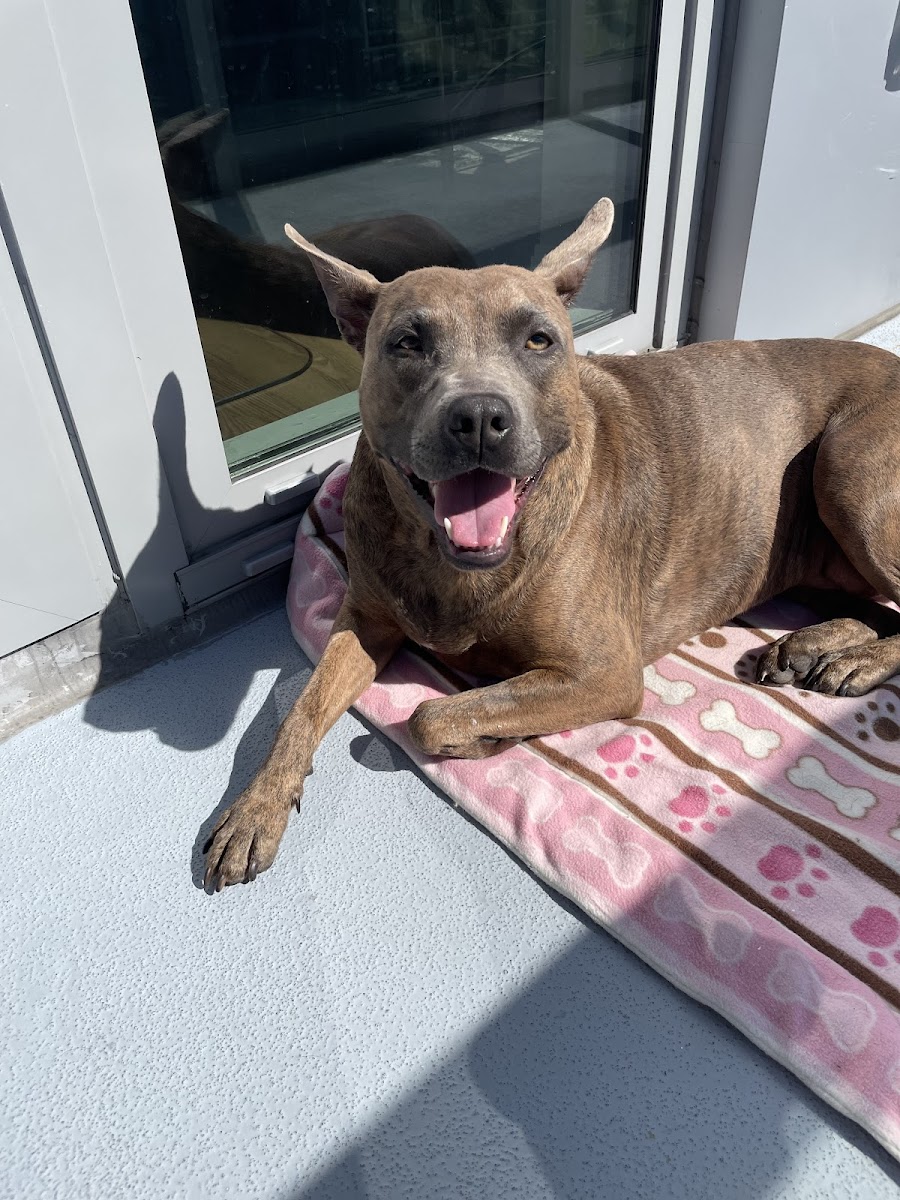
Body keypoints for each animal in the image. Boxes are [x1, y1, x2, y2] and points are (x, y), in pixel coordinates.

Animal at [203, 197, 900, 890]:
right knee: (875, 607)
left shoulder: (604, 674)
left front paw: (489, 737)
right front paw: (255, 807)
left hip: (850, 471)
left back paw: (854, 661)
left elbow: (433, 716)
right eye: (407, 342)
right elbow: (301, 707)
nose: (479, 417)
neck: (456, 563)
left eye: (539, 340)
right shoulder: (364, 619)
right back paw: (811, 645)